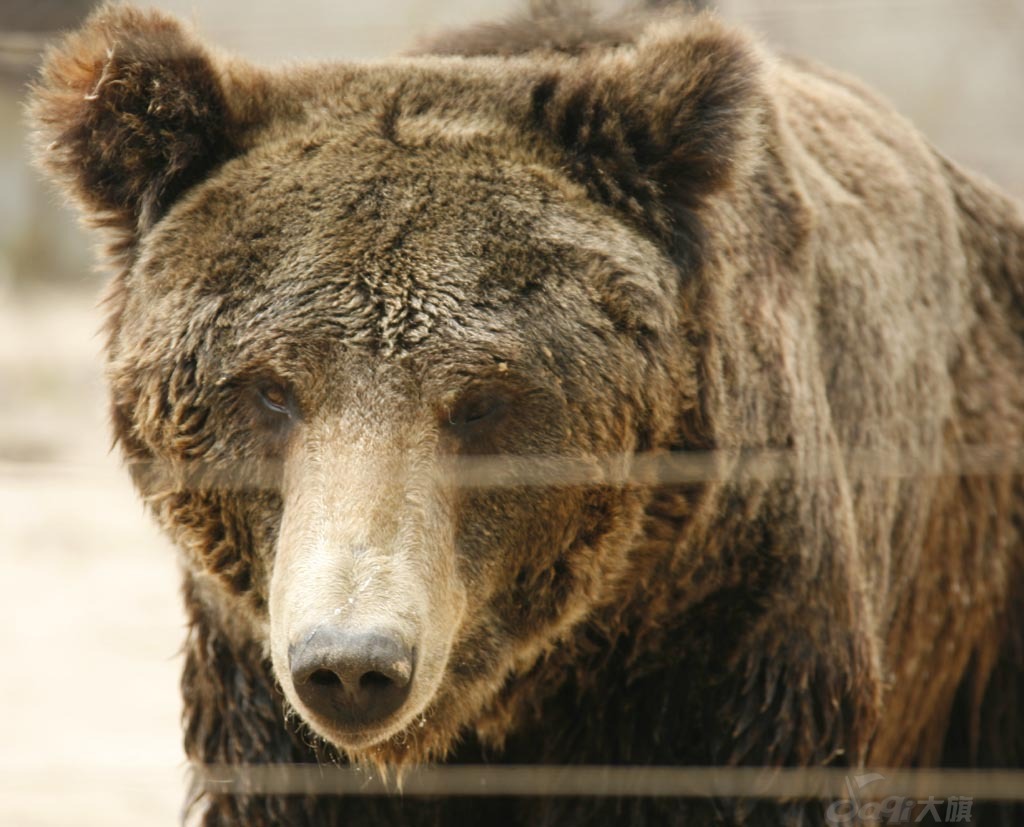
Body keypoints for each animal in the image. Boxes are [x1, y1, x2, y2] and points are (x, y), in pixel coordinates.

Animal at [28, 1, 1019, 827]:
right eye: (272, 387)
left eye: (483, 399)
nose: (351, 662)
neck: (520, 688)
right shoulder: (262, 695)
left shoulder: (729, 649)